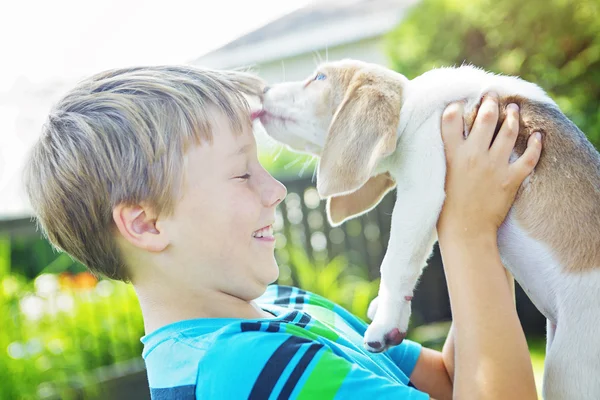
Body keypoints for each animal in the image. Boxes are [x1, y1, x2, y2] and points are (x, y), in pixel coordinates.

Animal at [258, 59, 600, 400]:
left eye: (319, 78)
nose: (262, 90)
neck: (411, 107)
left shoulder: (421, 189)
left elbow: (394, 262)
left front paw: (384, 322)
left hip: (566, 368)